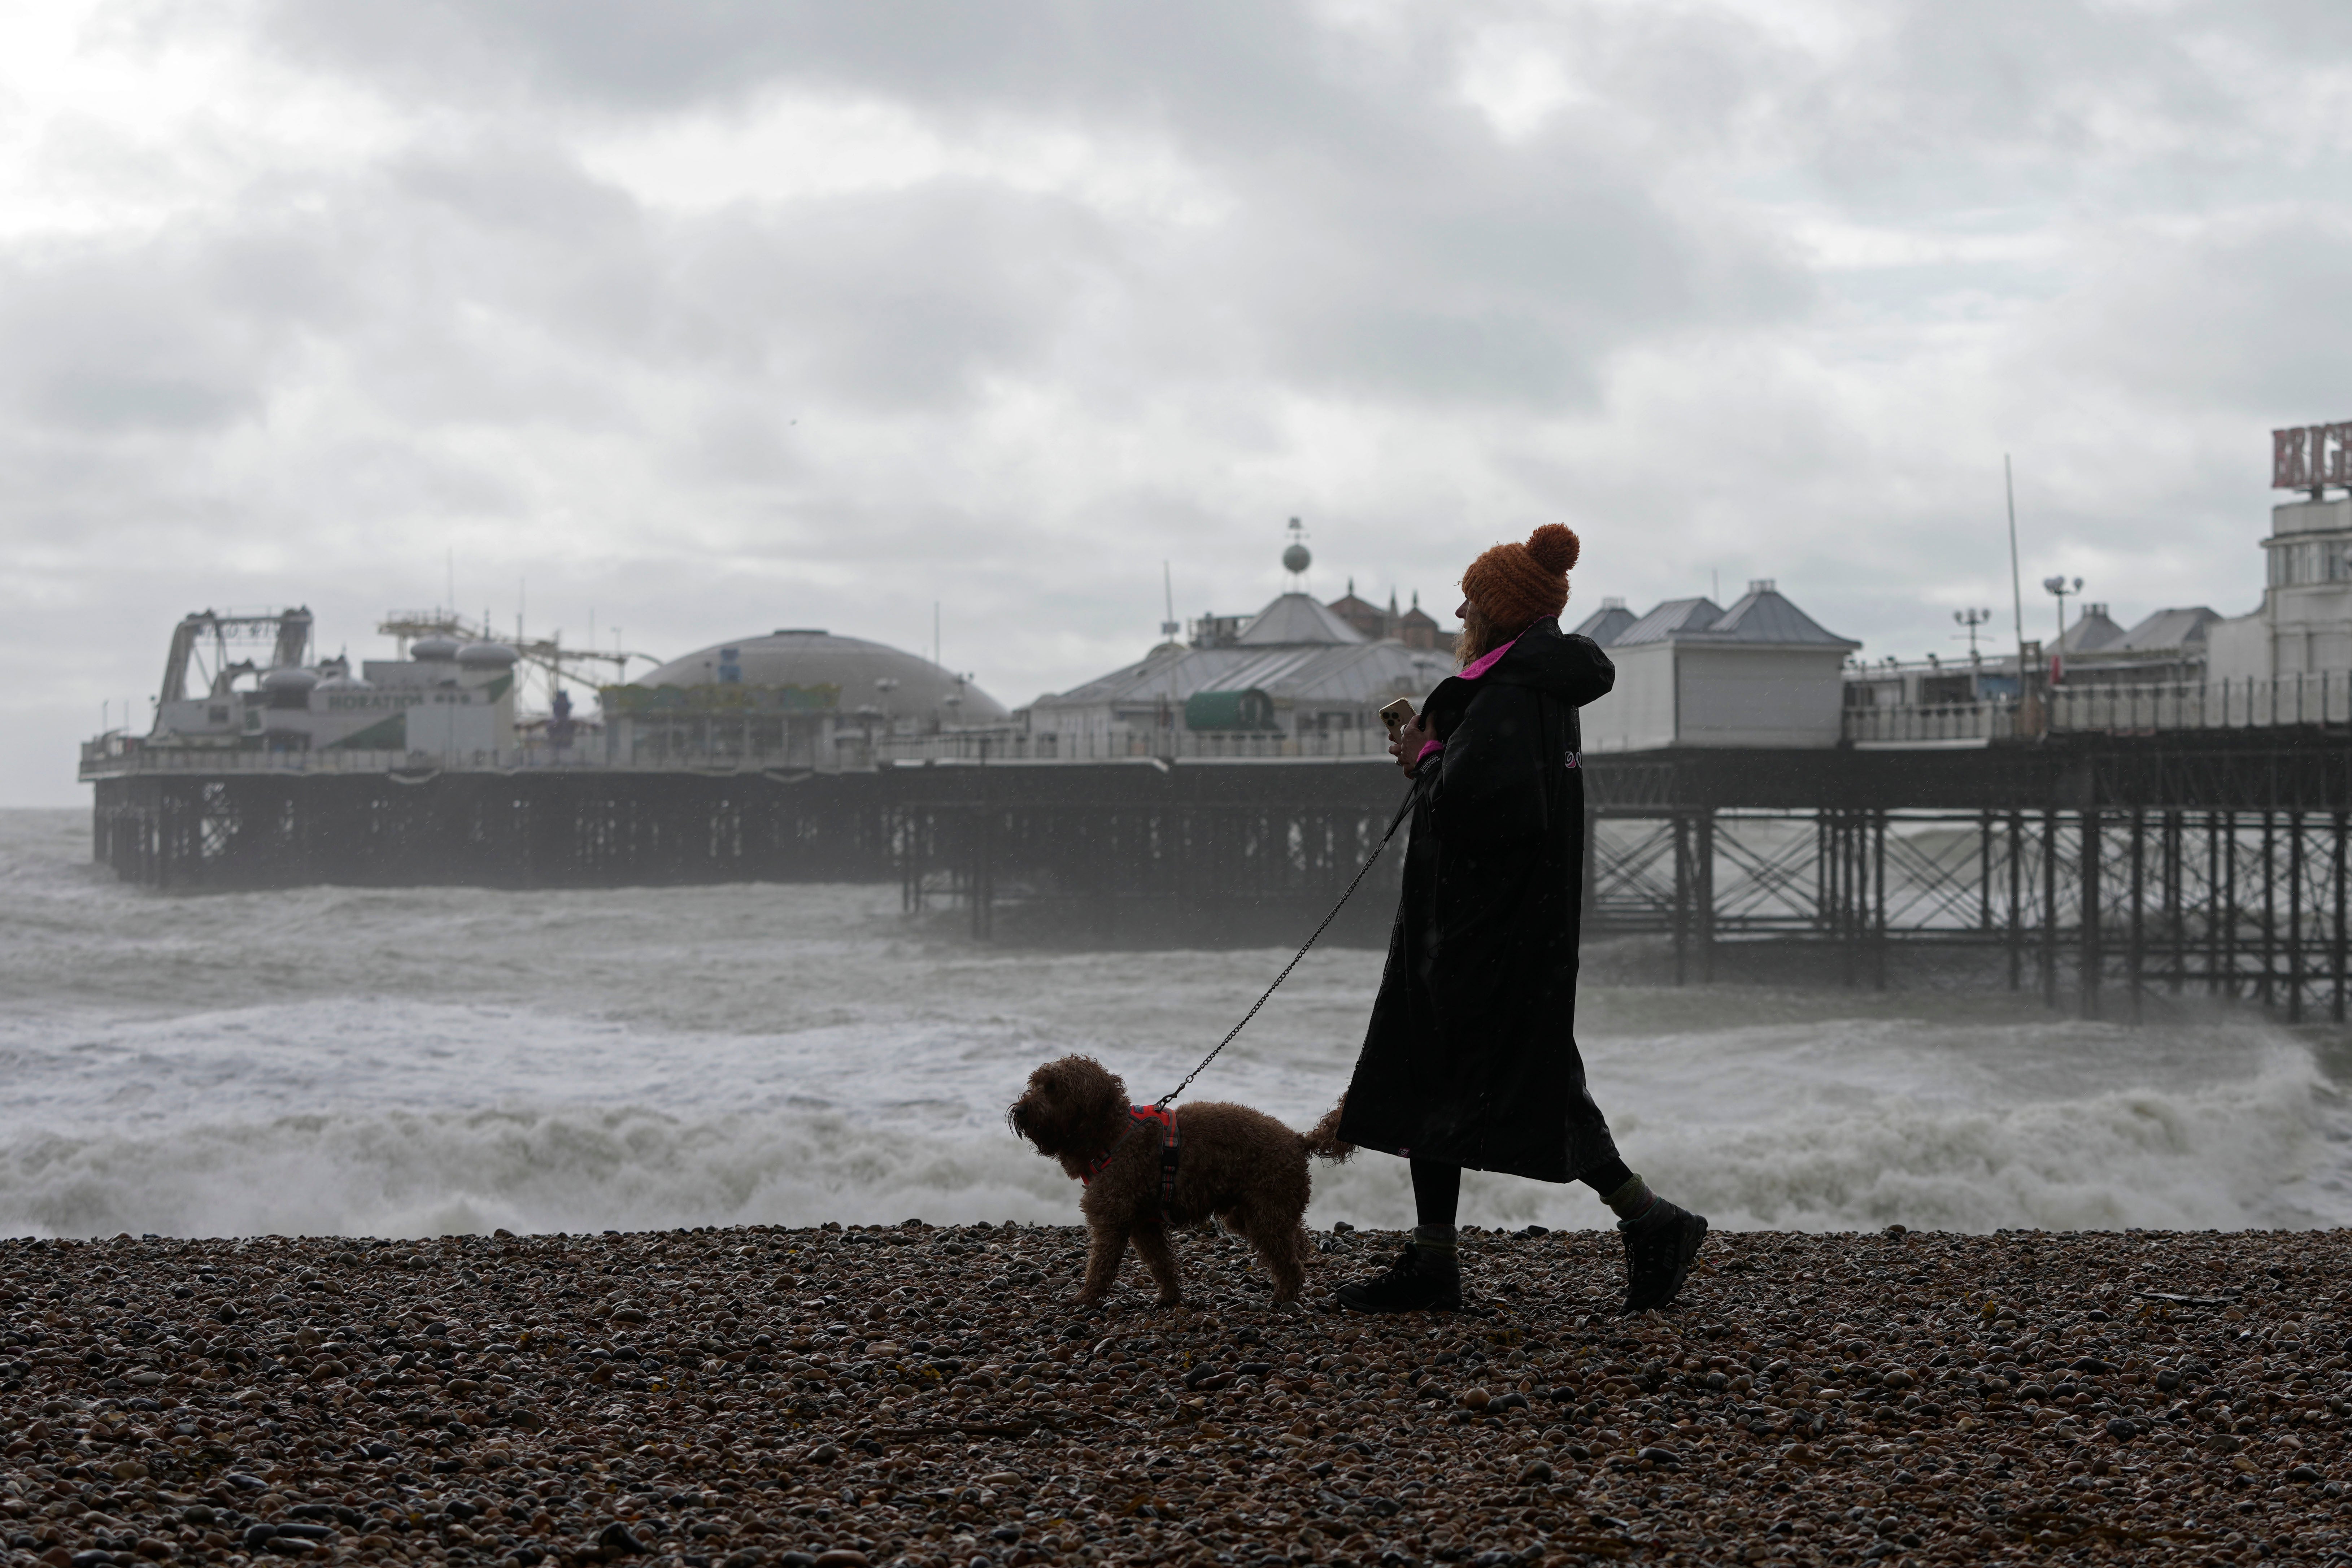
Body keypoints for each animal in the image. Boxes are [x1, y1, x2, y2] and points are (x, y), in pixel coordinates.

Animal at [1002, 1053, 1355, 1316]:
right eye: (1036, 1084)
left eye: (1054, 1088)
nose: (1020, 1110)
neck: (1112, 1135)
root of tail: (1299, 1141)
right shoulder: (1143, 1225)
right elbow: (1161, 1263)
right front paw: (1169, 1297)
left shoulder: (1112, 1220)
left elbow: (1101, 1266)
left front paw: (1085, 1299)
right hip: (1255, 1213)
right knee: (1297, 1242)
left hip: (1267, 1213)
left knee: (1289, 1263)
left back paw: (1284, 1298)